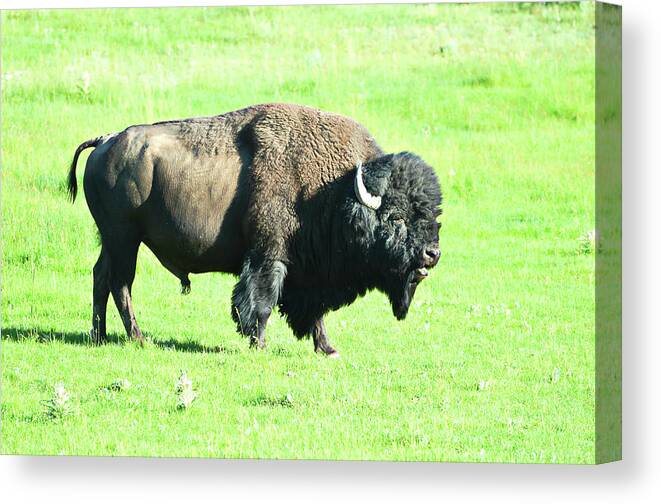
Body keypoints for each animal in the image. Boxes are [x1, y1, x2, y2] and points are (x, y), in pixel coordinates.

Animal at [67, 102, 440, 356]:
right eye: (396, 217)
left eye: (432, 214)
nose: (432, 254)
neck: (336, 189)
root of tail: (106, 141)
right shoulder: (268, 257)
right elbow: (260, 301)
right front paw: (259, 344)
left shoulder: (310, 273)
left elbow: (314, 313)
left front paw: (327, 349)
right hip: (124, 239)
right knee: (121, 283)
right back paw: (138, 338)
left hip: (112, 241)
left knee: (101, 277)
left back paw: (100, 336)